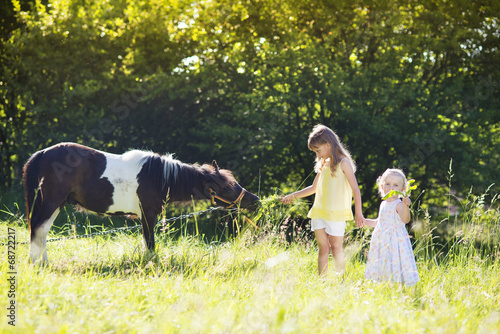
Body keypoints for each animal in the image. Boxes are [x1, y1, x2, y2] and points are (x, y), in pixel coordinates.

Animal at [22, 142, 260, 264]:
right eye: (227, 188)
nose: (255, 200)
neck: (159, 176)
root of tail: (42, 153)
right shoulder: (148, 214)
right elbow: (150, 242)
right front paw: (151, 265)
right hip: (51, 202)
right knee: (38, 229)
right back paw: (37, 263)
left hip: (56, 204)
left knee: (41, 232)